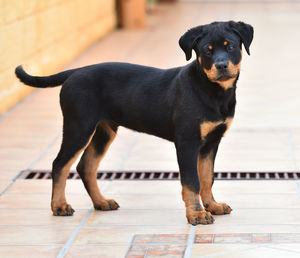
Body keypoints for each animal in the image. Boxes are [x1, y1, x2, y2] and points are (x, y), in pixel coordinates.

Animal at [14, 21, 253, 225]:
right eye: (207, 51)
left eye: (230, 46)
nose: (221, 65)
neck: (213, 91)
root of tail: (75, 72)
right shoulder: (187, 142)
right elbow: (191, 181)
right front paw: (196, 214)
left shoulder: (211, 142)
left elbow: (206, 177)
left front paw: (212, 205)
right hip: (78, 127)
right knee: (60, 164)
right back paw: (59, 206)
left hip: (104, 131)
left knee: (86, 166)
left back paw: (101, 202)